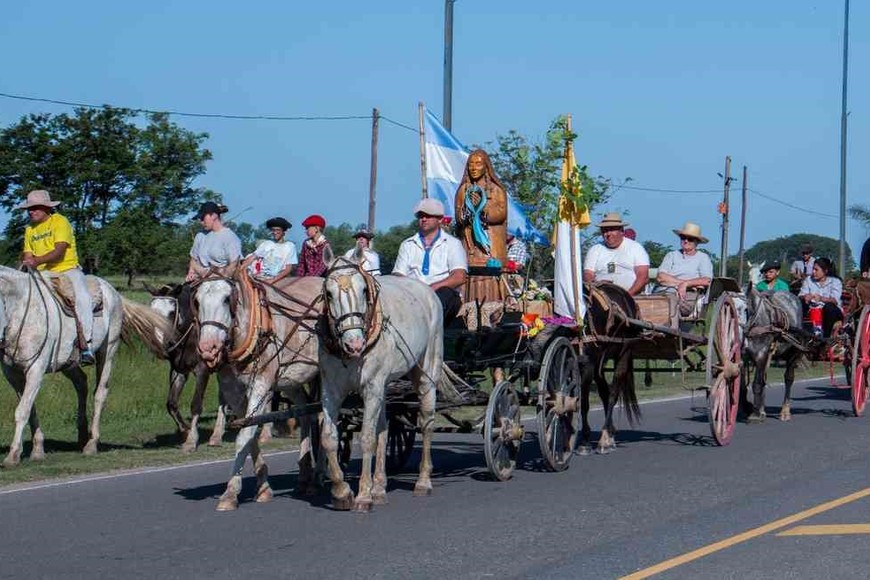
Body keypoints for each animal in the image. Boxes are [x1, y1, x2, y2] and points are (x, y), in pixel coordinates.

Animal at [0, 266, 169, 466]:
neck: (21, 311)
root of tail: (113, 292)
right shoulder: (12, 373)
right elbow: (30, 409)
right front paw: (38, 449)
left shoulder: (36, 369)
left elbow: (22, 411)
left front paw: (13, 455)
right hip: (69, 363)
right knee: (81, 383)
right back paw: (82, 435)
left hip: (108, 353)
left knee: (100, 394)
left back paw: (91, 443)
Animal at [146, 284, 228, 450]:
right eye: (151, 311)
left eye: (171, 313)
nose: (158, 344)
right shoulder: (179, 371)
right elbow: (171, 403)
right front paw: (185, 431)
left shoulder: (203, 371)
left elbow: (196, 404)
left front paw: (191, 440)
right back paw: (217, 435)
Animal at [192, 268, 326, 512]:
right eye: (196, 301)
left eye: (227, 299)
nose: (208, 348)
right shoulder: (234, 391)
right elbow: (248, 430)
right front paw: (263, 487)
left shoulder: (261, 384)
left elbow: (244, 435)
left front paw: (230, 493)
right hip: (291, 379)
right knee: (304, 412)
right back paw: (305, 477)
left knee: (323, 416)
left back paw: (320, 473)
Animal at [320, 258, 442, 512]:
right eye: (329, 293)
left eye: (363, 290)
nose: (354, 344)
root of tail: (427, 291)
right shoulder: (331, 391)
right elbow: (329, 437)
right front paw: (342, 492)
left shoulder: (371, 388)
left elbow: (367, 438)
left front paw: (363, 495)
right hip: (384, 386)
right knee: (385, 428)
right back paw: (379, 488)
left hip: (427, 372)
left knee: (426, 422)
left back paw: (423, 481)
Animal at [584, 280, 644, 454]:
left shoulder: (586, 364)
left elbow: (584, 401)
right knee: (605, 392)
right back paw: (610, 434)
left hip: (624, 352)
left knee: (613, 393)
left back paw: (605, 439)